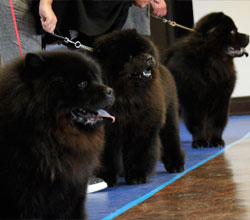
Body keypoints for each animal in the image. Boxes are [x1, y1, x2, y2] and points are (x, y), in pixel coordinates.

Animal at [94, 29, 186, 186]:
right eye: (130, 56)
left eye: (144, 50)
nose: (149, 58)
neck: (126, 96)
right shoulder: (108, 131)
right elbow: (107, 156)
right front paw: (108, 177)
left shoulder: (143, 127)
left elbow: (139, 153)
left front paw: (137, 176)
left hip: (170, 116)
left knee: (171, 138)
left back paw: (176, 165)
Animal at [165, 12, 249, 150]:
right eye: (232, 31)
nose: (248, 35)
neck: (214, 63)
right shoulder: (194, 102)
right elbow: (198, 124)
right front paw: (200, 142)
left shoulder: (222, 100)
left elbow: (216, 124)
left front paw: (216, 141)